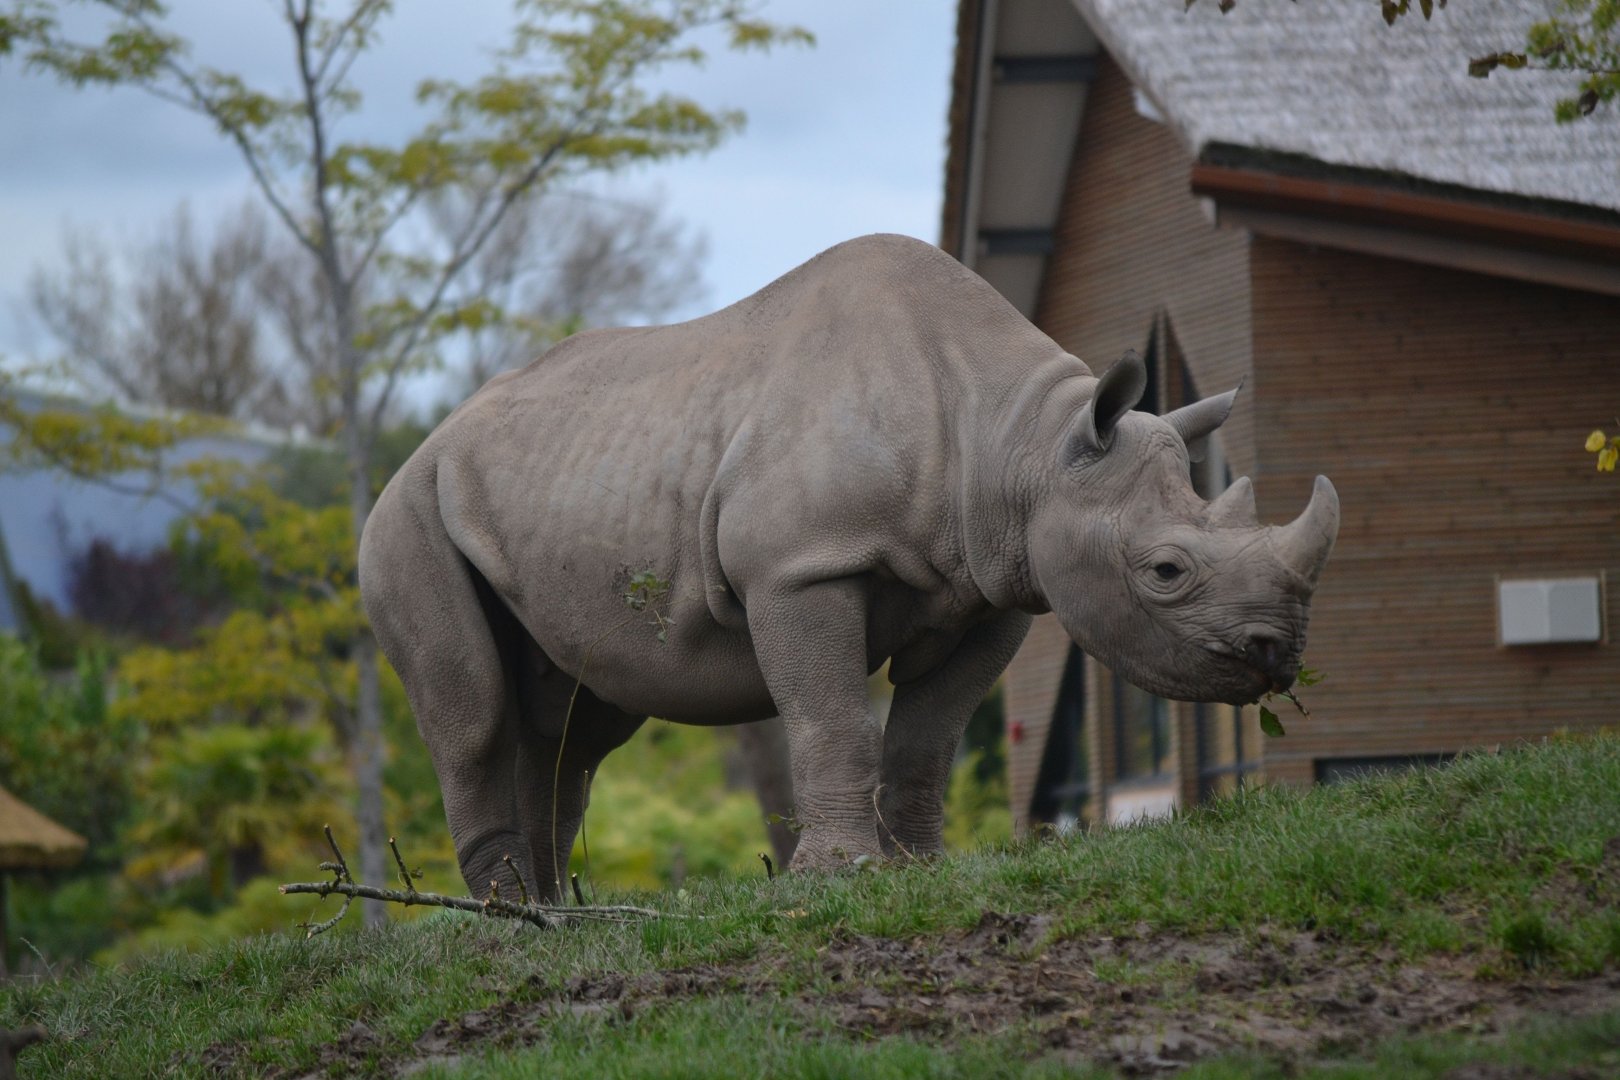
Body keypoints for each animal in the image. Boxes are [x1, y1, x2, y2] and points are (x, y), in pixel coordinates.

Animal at [360, 233, 1338, 900]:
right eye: (1166, 570)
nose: (1278, 655)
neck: (1022, 442)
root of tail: (422, 446)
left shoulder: (993, 589)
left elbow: (929, 733)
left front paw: (918, 869)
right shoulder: (801, 566)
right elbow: (835, 719)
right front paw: (835, 881)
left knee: (577, 726)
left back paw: (553, 915)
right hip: (404, 519)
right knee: (476, 711)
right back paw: (506, 916)